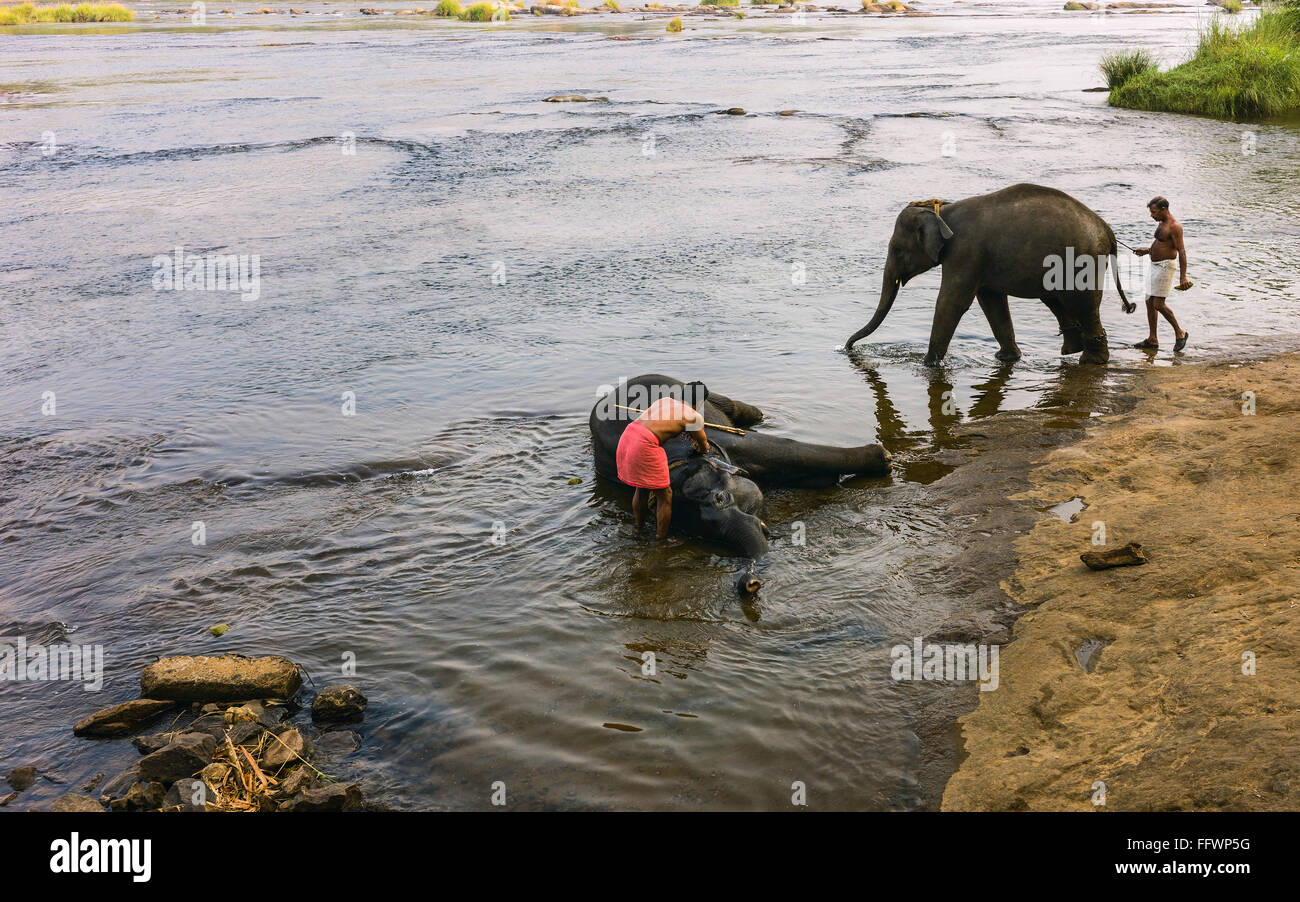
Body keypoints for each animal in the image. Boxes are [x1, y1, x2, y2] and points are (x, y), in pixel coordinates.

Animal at [590, 374, 892, 592]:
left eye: (721, 498)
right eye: (703, 534)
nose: (750, 583)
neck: (675, 461)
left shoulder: (720, 440)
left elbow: (782, 448)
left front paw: (883, 460)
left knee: (739, 409)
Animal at [845, 183, 1130, 366]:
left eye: (897, 250)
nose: (847, 348)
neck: (941, 212)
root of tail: (1107, 231)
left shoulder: (964, 252)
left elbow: (952, 302)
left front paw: (927, 365)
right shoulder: (980, 262)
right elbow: (991, 302)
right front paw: (1007, 358)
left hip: (1083, 260)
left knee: (1082, 303)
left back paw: (1090, 360)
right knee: (1056, 299)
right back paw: (1072, 350)